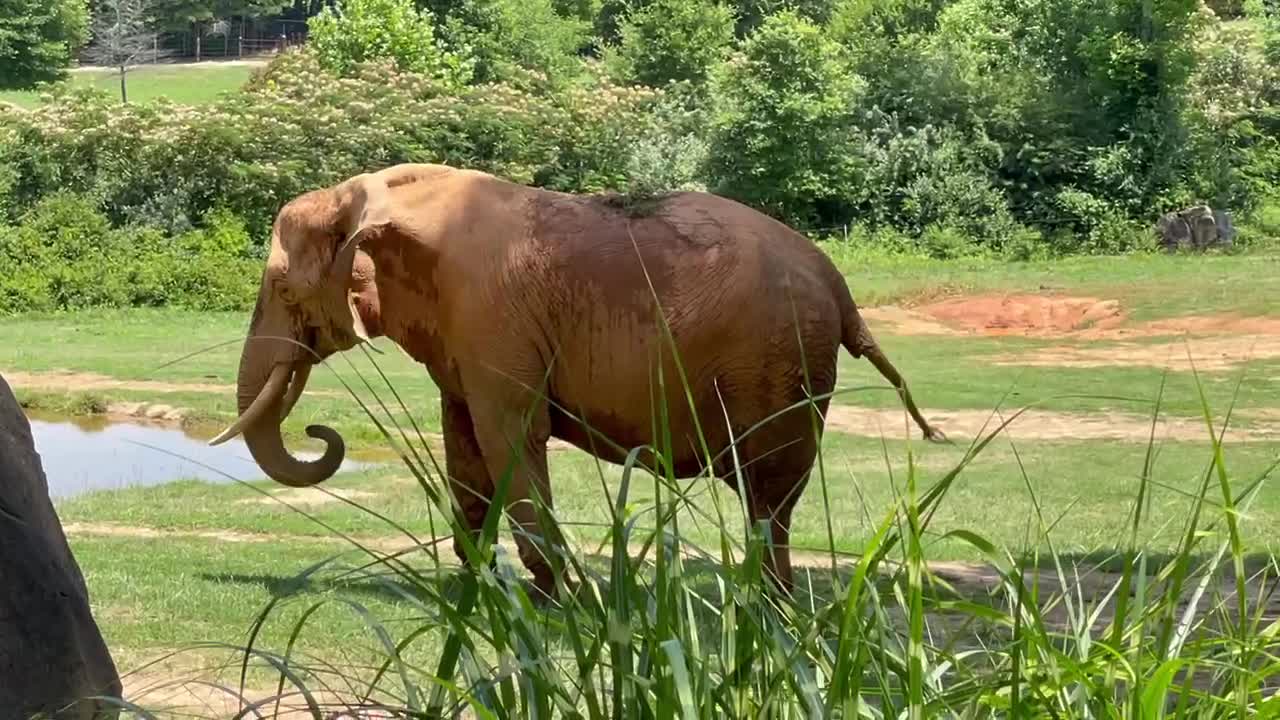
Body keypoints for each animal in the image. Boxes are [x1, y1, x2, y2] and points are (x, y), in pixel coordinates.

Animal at [209, 161, 947, 594]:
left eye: (281, 287)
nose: (317, 430)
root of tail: (841, 288)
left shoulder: (493, 317)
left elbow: (510, 440)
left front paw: (555, 603)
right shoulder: (465, 335)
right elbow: (465, 448)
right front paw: (479, 595)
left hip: (778, 361)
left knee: (768, 493)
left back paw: (766, 607)